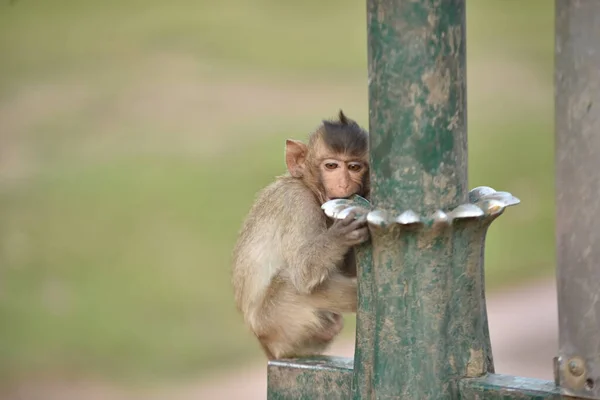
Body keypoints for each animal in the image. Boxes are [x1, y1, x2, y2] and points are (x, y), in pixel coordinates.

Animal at [231, 110, 368, 360]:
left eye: (354, 167)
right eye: (331, 166)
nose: (344, 184)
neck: (309, 188)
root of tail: (267, 348)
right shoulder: (299, 204)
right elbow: (303, 272)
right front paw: (340, 236)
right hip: (275, 321)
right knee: (289, 282)